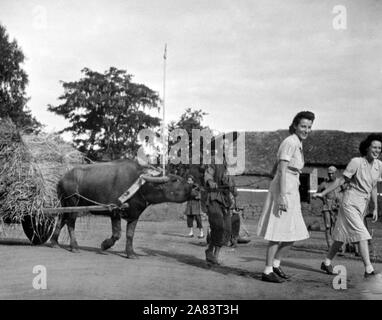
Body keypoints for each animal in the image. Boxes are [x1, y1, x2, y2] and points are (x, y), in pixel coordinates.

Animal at [50, 159, 197, 258]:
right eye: (175, 180)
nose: (195, 188)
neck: (140, 187)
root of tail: (62, 179)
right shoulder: (115, 211)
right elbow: (117, 234)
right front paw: (104, 245)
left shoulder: (135, 215)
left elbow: (130, 234)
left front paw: (131, 253)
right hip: (73, 203)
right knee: (70, 223)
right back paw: (74, 246)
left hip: (65, 204)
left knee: (61, 220)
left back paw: (54, 242)